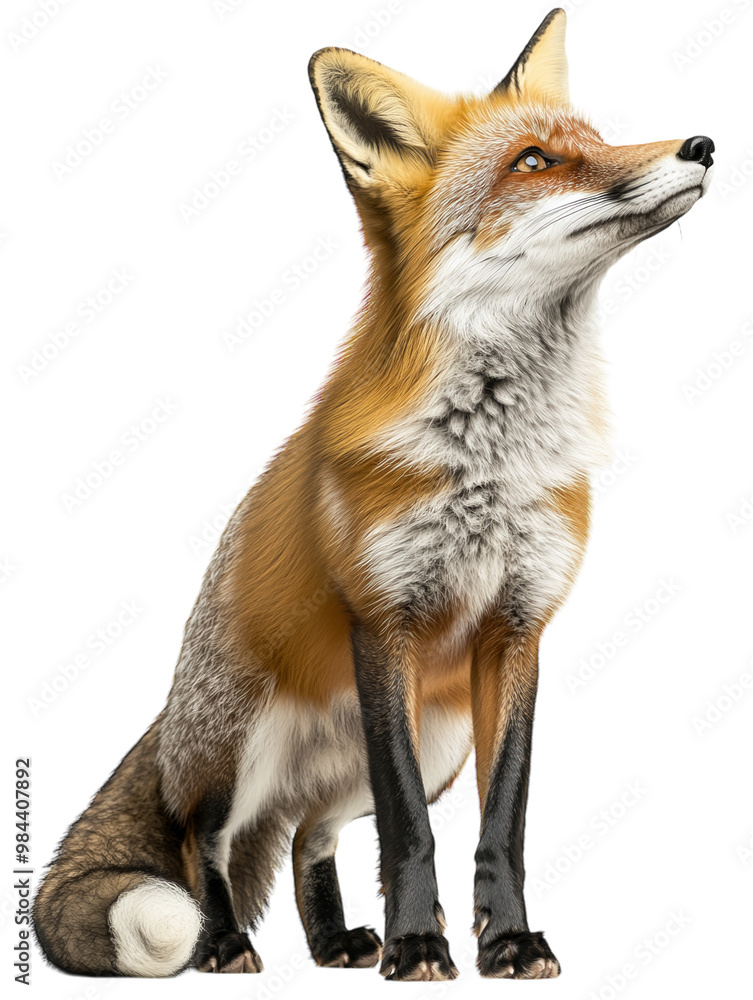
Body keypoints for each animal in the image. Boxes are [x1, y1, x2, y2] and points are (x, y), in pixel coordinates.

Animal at [33, 8, 713, 982]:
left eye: (599, 138)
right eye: (534, 160)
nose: (701, 145)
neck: (489, 464)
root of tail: (175, 709)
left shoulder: (517, 631)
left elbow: (498, 824)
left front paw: (504, 941)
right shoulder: (382, 621)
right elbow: (408, 832)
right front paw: (421, 943)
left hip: (426, 745)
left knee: (305, 834)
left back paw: (333, 942)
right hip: (244, 747)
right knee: (207, 833)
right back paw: (226, 941)